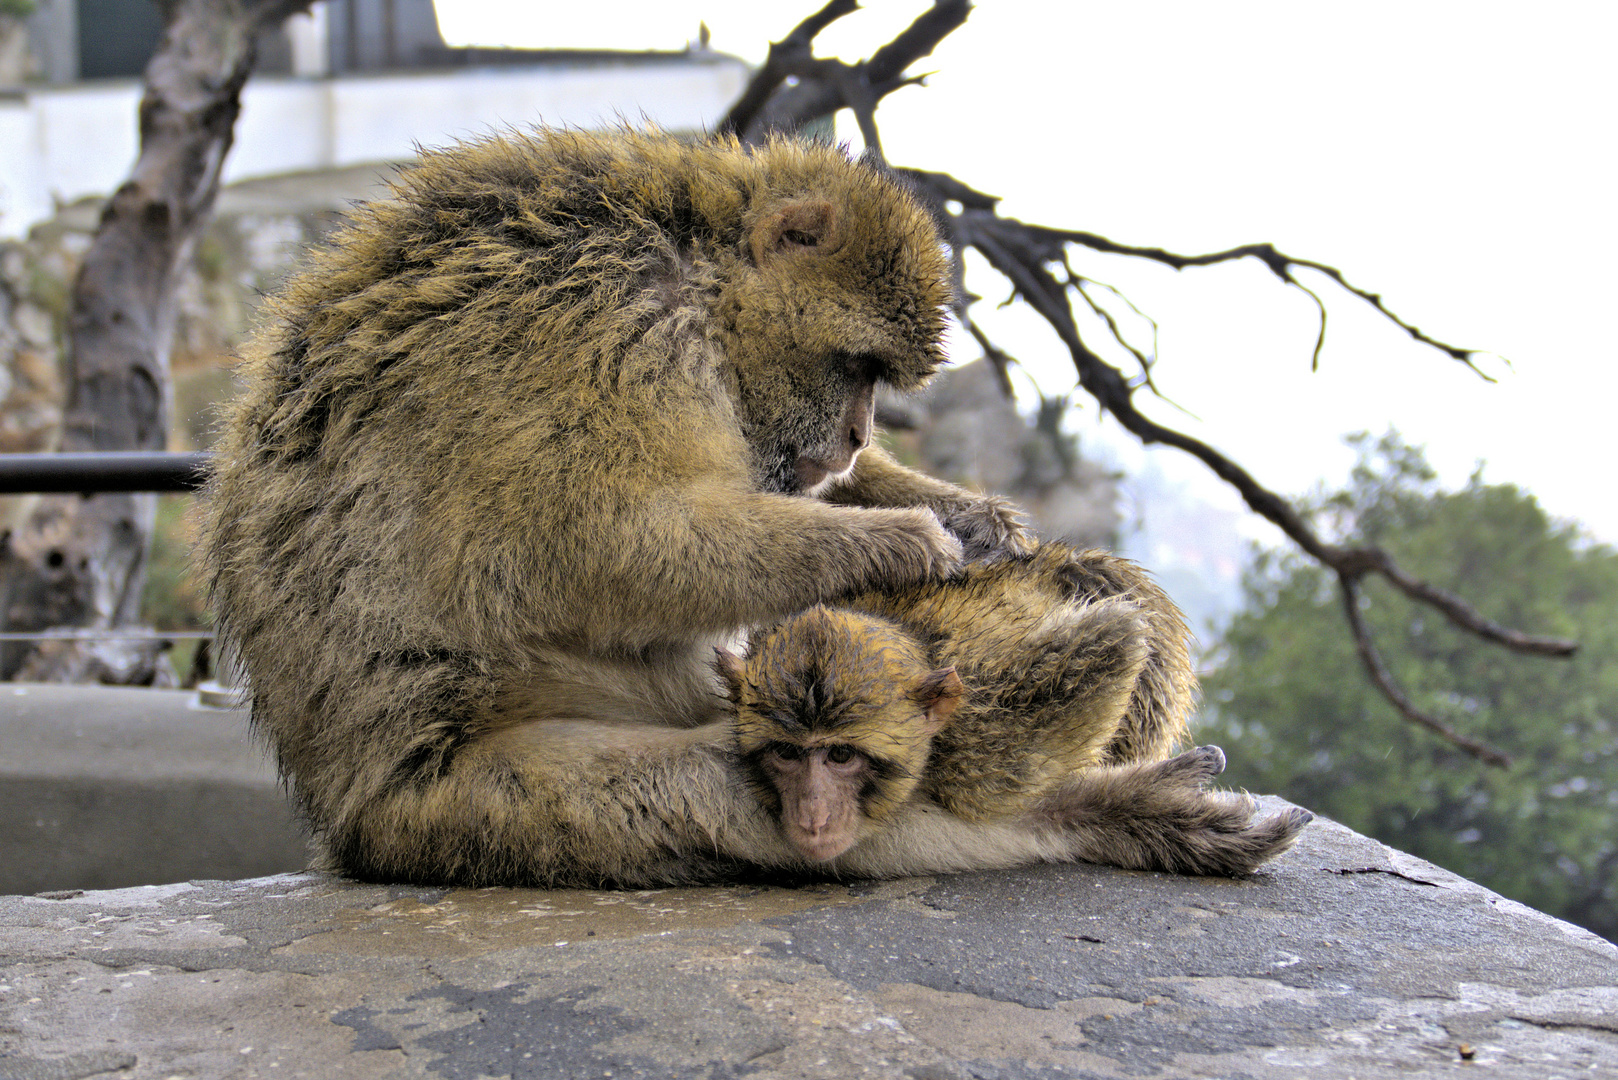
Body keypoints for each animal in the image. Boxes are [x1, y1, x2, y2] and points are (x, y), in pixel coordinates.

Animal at [721, 544, 1313, 874]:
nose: (813, 817)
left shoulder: (979, 750)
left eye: (842, 756)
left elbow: (1120, 629)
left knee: (1125, 597)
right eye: (786, 754)